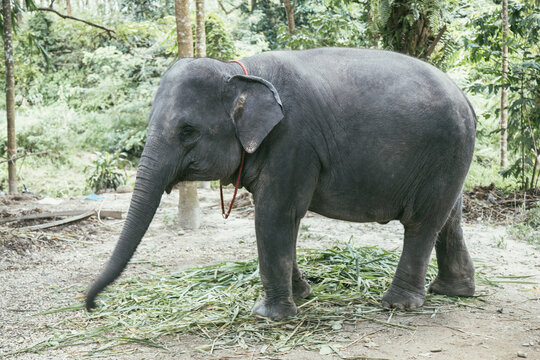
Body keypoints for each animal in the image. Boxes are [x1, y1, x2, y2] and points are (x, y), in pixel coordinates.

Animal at [85, 47, 476, 320]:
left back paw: (399, 305)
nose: (91, 305)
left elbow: (274, 214)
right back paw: (453, 292)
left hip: (443, 153)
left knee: (422, 223)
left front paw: (269, 316)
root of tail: (467, 100)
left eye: (187, 132)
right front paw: (302, 294)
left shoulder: (293, 140)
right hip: (451, 159)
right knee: (449, 220)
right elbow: (284, 219)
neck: (238, 72)